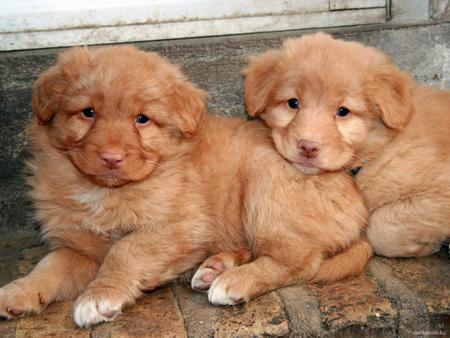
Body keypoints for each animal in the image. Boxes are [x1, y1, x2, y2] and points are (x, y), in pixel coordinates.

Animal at [0, 45, 370, 328]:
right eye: (87, 112)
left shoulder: (181, 227)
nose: (111, 158)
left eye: (142, 119)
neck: (107, 192)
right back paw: (215, 267)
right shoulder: (79, 247)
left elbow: (126, 250)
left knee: (300, 260)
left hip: (264, 186)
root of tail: (357, 202)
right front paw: (18, 292)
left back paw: (233, 281)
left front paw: (99, 296)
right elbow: (49, 266)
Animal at [244, 33, 450, 258]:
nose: (308, 147)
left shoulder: (440, 192)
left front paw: (427, 245)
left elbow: (379, 228)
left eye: (343, 111)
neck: (380, 150)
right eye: (293, 103)